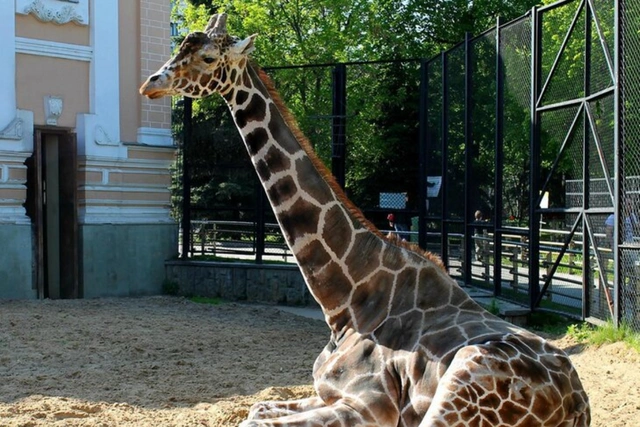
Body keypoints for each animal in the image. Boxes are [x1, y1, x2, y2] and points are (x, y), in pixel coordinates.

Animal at [140, 14, 592, 427]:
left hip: (460, 388)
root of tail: (578, 402)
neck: (347, 301)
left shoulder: (368, 406)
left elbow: (254, 419)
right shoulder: (324, 393)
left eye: (208, 57)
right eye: (177, 48)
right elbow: (256, 407)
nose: (150, 84)